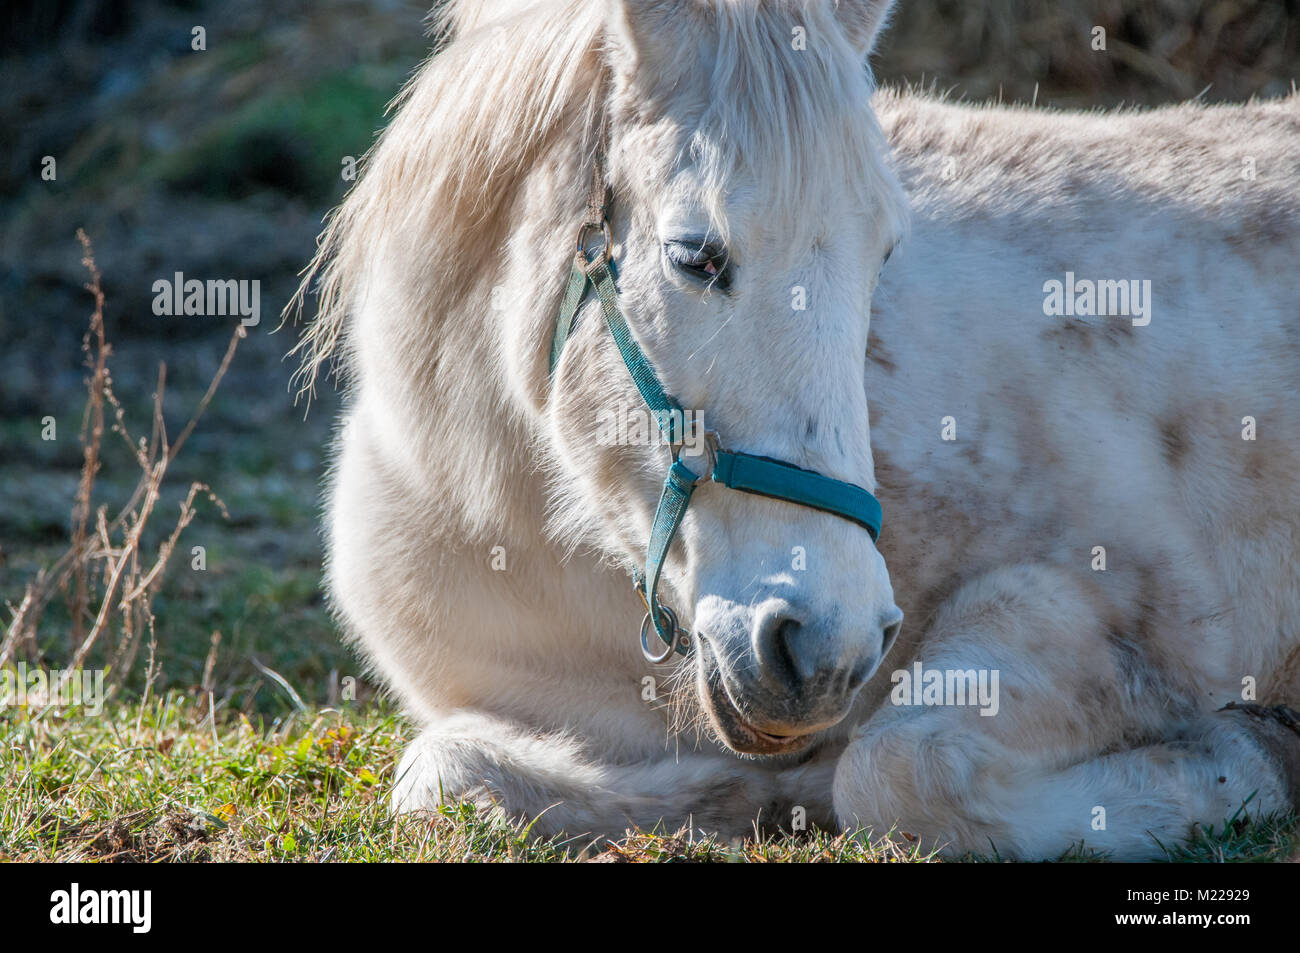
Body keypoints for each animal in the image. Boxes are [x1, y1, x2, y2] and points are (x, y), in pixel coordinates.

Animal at [289, 0, 1300, 859]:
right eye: (695, 256)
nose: (826, 648)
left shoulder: (1105, 615)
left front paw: (1246, 762)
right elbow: (443, 774)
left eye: (885, 253)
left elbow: (896, 767)